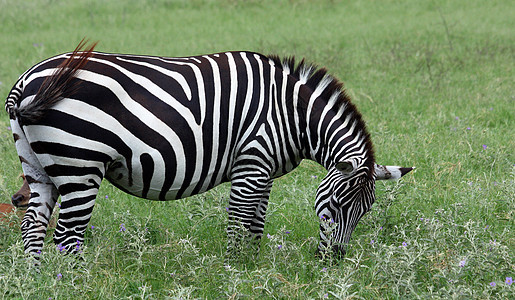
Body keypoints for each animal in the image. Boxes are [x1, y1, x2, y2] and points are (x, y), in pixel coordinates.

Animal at [6, 41, 414, 258]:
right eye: (335, 205)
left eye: (365, 211)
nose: (333, 261)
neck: (291, 114)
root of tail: (26, 80)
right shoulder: (251, 164)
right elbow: (238, 223)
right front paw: (233, 269)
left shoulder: (264, 171)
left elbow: (255, 225)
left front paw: (252, 267)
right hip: (80, 165)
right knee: (66, 236)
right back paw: (72, 282)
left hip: (39, 168)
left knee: (32, 227)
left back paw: (39, 281)